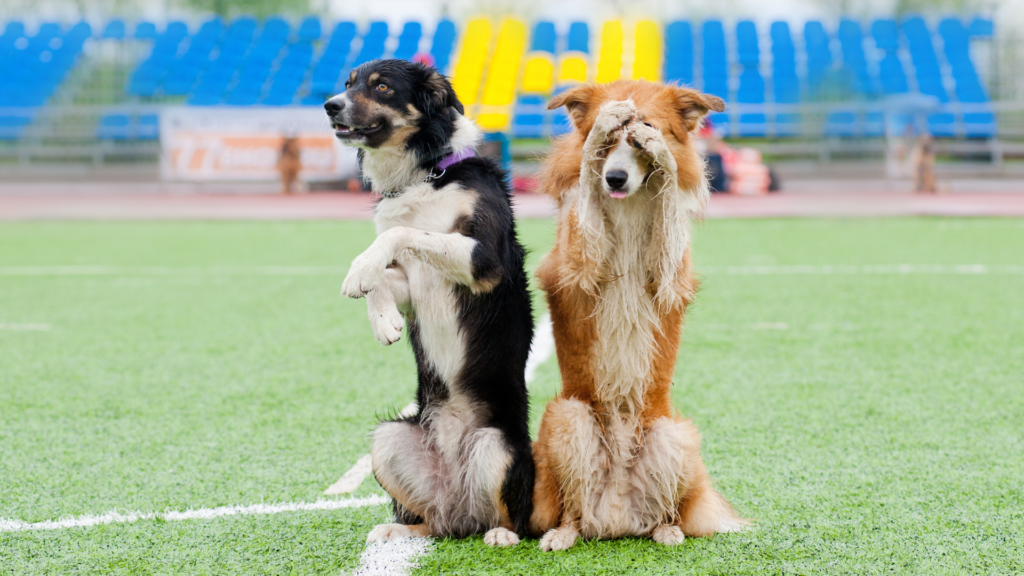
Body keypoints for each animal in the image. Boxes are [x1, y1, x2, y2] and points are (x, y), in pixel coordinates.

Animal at [325, 60, 536, 545]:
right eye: (348, 84)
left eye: (382, 86)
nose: (330, 105)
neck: (426, 174)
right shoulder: (413, 281)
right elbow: (388, 269)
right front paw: (383, 320)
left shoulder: (483, 261)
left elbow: (401, 233)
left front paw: (358, 270)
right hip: (389, 439)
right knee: (437, 522)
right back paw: (397, 530)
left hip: (496, 446)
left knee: (508, 516)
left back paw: (502, 535)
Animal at [532, 78, 749, 549]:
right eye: (610, 142)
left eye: (642, 137)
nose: (615, 177)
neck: (628, 206)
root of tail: (615, 515)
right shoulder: (579, 268)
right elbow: (586, 183)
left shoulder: (667, 279)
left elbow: (668, 201)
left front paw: (662, 156)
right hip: (568, 416)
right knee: (572, 507)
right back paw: (562, 534)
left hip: (674, 433)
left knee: (666, 511)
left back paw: (667, 531)